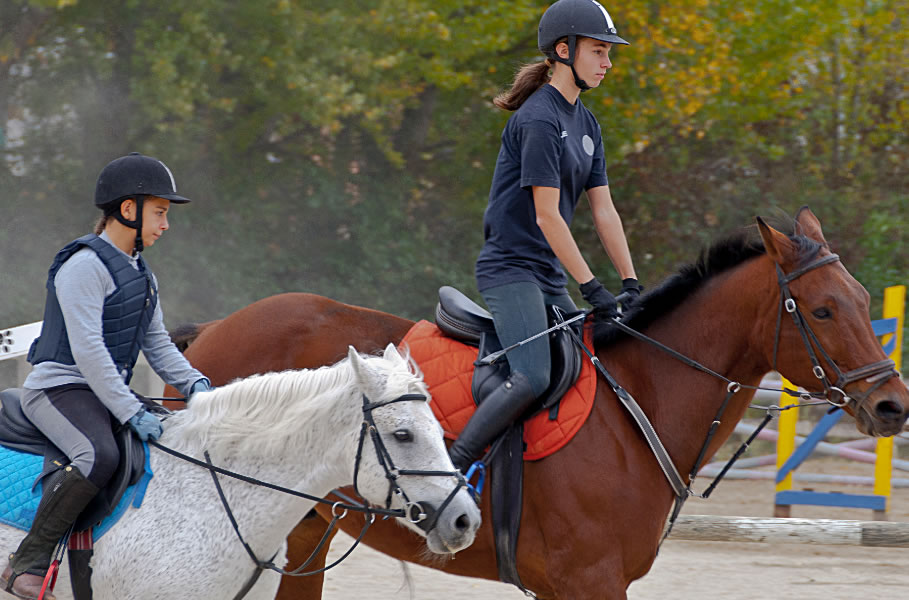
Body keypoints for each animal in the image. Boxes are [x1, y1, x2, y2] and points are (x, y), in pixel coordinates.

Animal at [168, 209, 908, 596]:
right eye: (821, 309)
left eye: (863, 301)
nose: (893, 405)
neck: (638, 403)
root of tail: (217, 327)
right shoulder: (591, 582)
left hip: (303, 530)